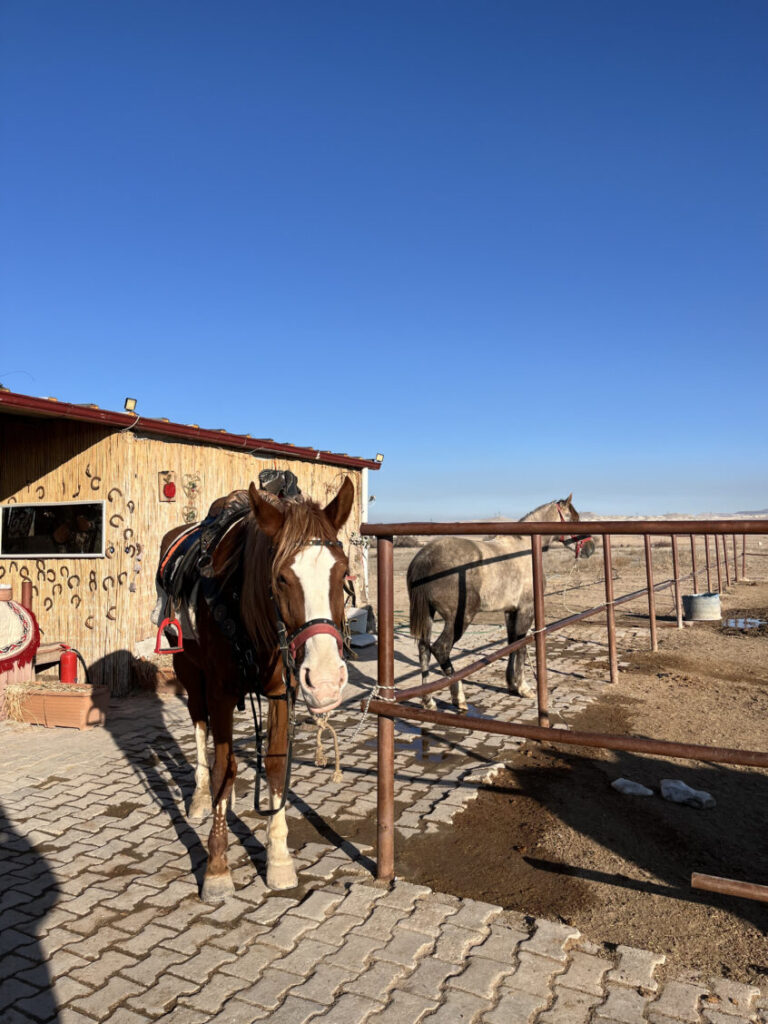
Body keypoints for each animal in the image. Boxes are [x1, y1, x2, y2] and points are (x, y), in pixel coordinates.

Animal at [159, 475, 358, 901]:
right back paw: (202, 798)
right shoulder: (219, 693)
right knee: (200, 729)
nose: (326, 680)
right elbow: (226, 766)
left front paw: (279, 860)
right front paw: (216, 867)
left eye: (342, 573)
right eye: (281, 578)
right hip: (189, 672)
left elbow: (275, 765)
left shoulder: (283, 692)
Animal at [405, 497, 598, 712]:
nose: (590, 548)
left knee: (423, 649)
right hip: (459, 619)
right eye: (575, 518)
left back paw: (428, 700)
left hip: (428, 616)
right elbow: (521, 645)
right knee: (440, 648)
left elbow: (512, 643)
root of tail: (424, 558)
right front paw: (524, 688)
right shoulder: (526, 609)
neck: (525, 549)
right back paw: (459, 697)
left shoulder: (510, 611)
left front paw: (511, 684)